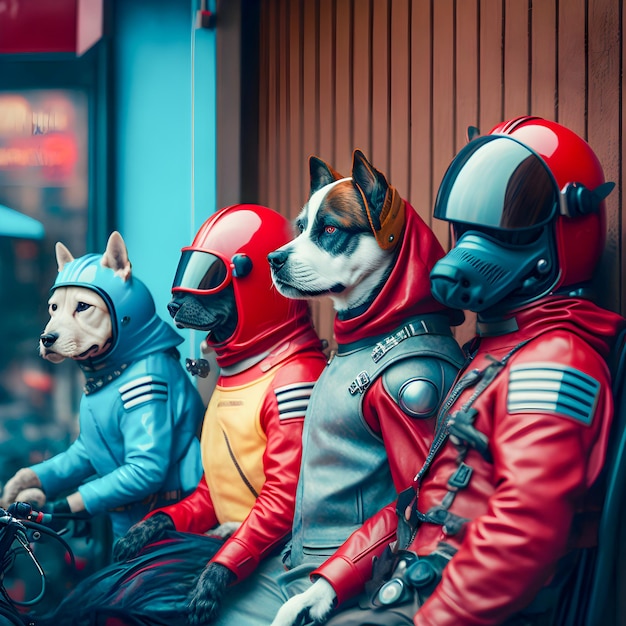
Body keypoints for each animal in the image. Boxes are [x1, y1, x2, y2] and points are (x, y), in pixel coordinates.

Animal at [0, 232, 202, 540]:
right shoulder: (84, 447)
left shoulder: (148, 392)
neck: (115, 371)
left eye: (83, 306)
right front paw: (19, 485)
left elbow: (144, 467)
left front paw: (47, 507)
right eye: (53, 307)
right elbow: (65, 461)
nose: (47, 338)